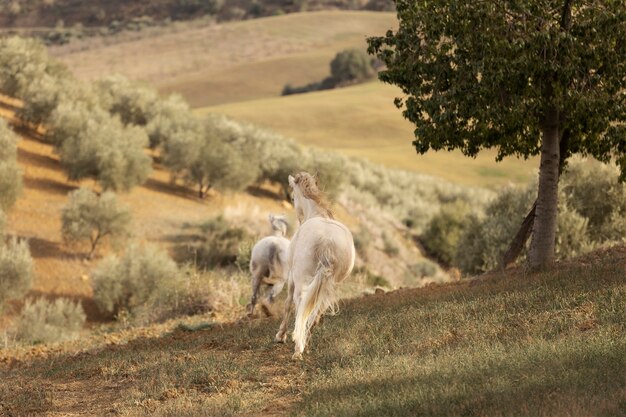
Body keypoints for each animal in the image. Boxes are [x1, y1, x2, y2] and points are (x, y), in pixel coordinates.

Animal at [274, 171, 354, 358]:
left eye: (293, 197)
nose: (299, 219)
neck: (318, 213)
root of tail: (327, 242)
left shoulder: (291, 276)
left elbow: (288, 303)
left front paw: (281, 335)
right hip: (330, 286)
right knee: (316, 312)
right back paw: (305, 343)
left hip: (302, 280)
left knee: (300, 303)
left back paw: (298, 348)